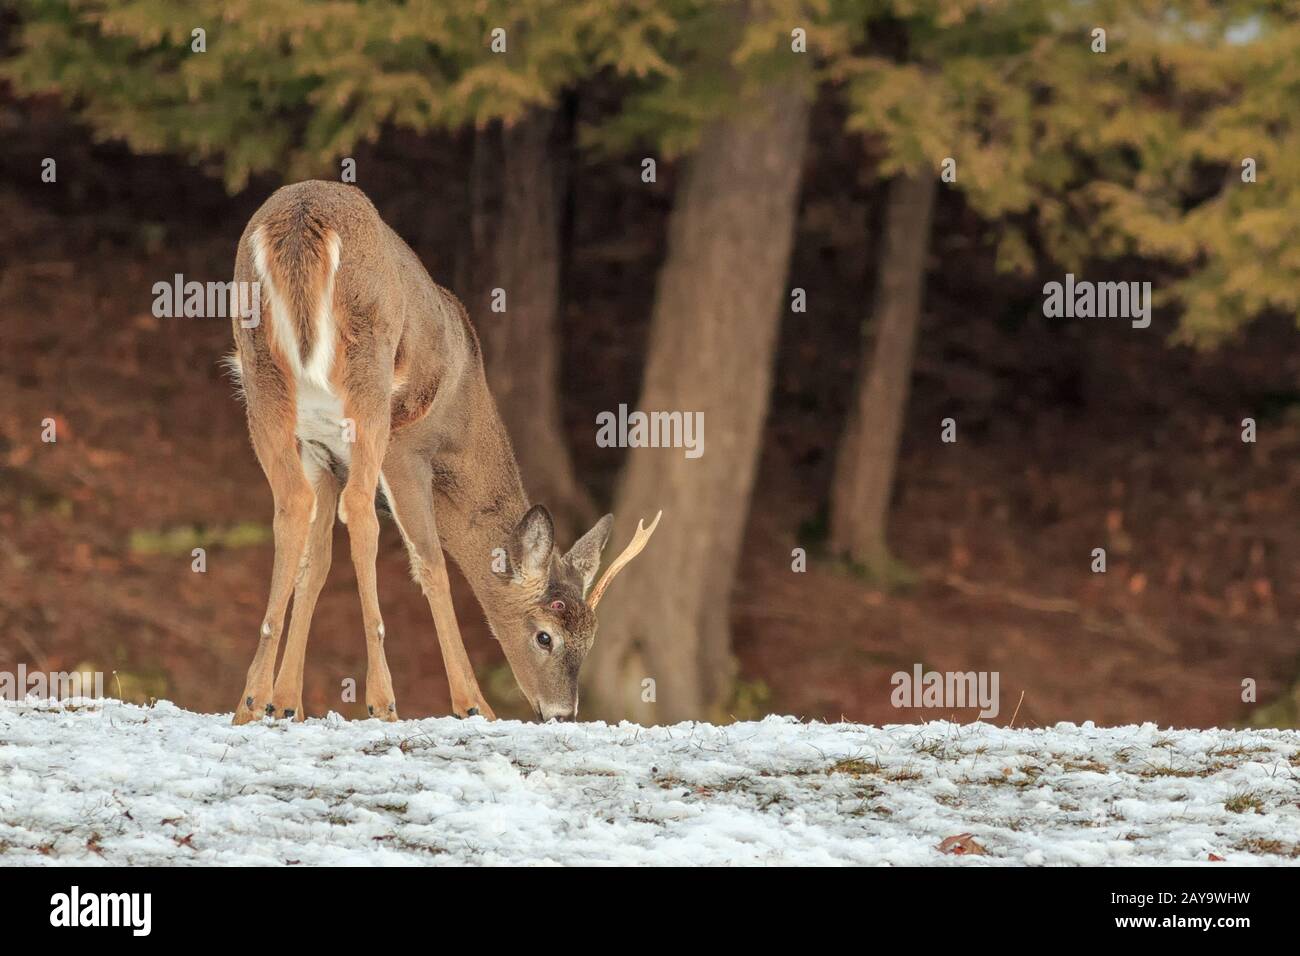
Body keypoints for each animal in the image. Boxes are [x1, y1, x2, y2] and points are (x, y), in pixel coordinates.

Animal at [222, 180, 660, 723]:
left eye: (591, 637)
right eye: (546, 636)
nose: (562, 713)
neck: (462, 419)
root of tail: (300, 223)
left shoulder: (322, 453)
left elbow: (315, 563)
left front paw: (285, 704)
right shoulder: (406, 450)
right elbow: (430, 562)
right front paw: (474, 705)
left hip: (261, 380)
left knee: (290, 506)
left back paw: (249, 700)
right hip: (368, 381)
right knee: (361, 514)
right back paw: (382, 699)